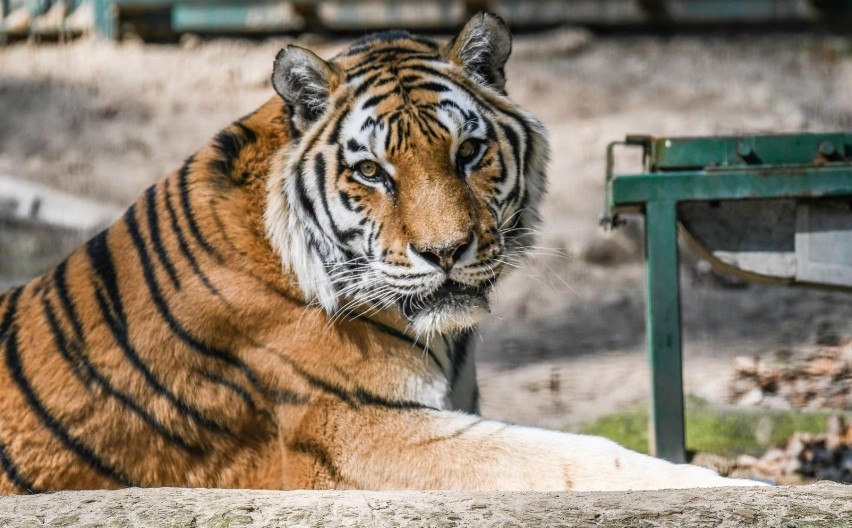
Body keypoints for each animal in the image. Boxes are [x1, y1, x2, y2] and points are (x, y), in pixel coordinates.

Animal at [0, 13, 764, 496]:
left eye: (469, 151)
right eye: (371, 172)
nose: (446, 251)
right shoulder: (357, 434)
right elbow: (576, 459)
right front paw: (734, 486)